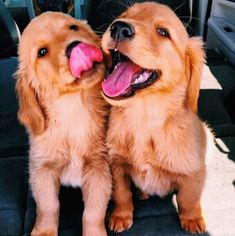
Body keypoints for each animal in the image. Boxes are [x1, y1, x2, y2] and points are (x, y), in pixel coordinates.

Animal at [16, 12, 112, 236]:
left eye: (73, 28)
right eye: (42, 52)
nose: (75, 46)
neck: (74, 111)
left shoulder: (99, 169)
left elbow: (93, 212)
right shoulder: (41, 170)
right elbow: (48, 207)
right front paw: (44, 232)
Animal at [102, 1, 207, 234]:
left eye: (163, 32)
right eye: (124, 15)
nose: (119, 28)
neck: (144, 118)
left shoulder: (195, 170)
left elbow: (189, 198)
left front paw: (192, 219)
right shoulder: (116, 164)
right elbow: (121, 194)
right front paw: (121, 216)